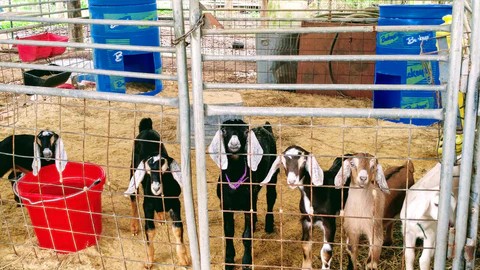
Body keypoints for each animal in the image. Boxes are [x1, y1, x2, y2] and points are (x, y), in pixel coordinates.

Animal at [124, 117, 190, 268]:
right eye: (148, 170)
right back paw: (134, 227)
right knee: (133, 199)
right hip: (132, 171)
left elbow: (178, 229)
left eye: (165, 170)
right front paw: (149, 261)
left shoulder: (175, 203)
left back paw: (160, 217)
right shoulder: (147, 204)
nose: (155, 188)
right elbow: (150, 230)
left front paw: (183, 259)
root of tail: (147, 127)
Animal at [208, 119, 280, 268]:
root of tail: (265, 127)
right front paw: (229, 260)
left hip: (273, 174)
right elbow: (228, 232)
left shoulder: (247, 207)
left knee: (271, 197)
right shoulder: (225, 205)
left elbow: (246, 236)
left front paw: (246, 262)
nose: (234, 144)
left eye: (246, 131)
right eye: (224, 130)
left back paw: (269, 225)